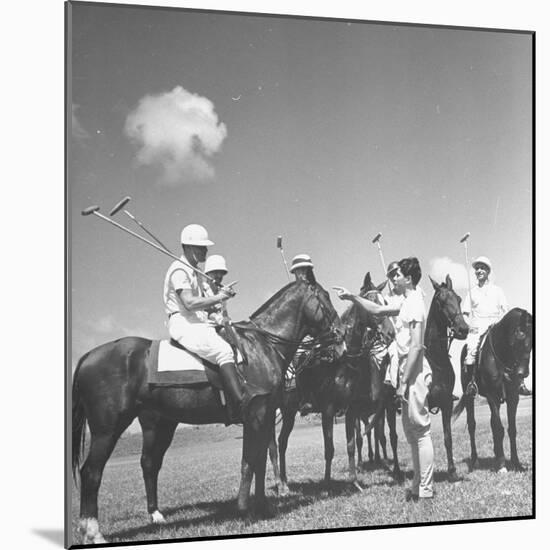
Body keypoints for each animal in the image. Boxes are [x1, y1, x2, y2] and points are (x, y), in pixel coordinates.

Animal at [70, 282, 344, 544]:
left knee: (149, 463)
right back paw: (93, 532)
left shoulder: (264, 418)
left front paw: (261, 506)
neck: (261, 348)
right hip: (108, 429)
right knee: (91, 472)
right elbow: (250, 462)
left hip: (160, 425)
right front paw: (245, 509)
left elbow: (259, 462)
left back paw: (156, 516)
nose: (341, 336)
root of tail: (87, 356)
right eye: (326, 298)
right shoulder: (256, 416)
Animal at [270, 272, 398, 496]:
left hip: (289, 414)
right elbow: (329, 448)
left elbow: (351, 445)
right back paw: (281, 484)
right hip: (285, 412)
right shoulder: (328, 411)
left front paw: (354, 482)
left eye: (384, 302)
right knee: (277, 445)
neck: (342, 362)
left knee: (282, 442)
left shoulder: (351, 412)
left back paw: (285, 482)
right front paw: (328, 483)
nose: (390, 333)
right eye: (371, 303)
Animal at [452, 310, 536, 474]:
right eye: (520, 333)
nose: (523, 372)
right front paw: (502, 465)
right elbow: (498, 428)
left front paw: (516, 463)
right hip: (470, 397)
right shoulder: (492, 396)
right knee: (472, 425)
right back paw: (475, 460)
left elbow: (511, 429)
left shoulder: (513, 397)